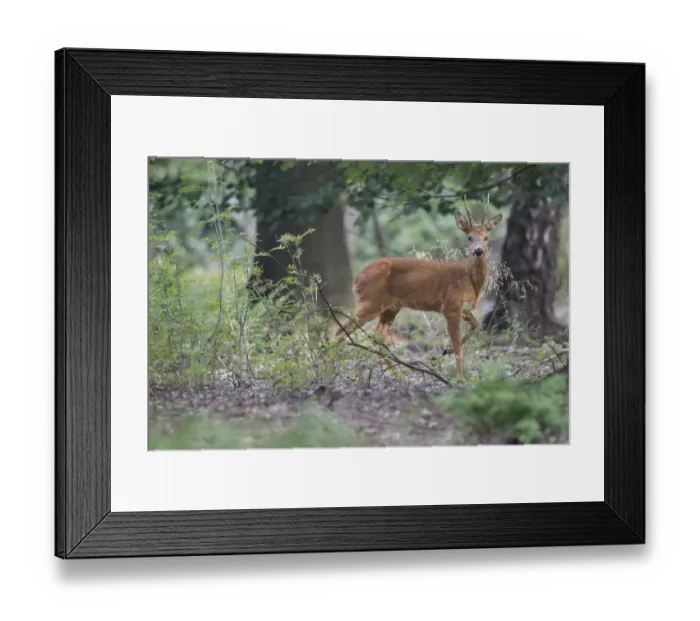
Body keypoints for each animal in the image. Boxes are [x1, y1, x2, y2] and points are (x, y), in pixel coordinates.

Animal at [332, 197, 503, 380]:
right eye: (469, 238)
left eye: (486, 238)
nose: (478, 251)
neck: (468, 279)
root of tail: (356, 279)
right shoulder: (451, 305)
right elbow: (458, 342)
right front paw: (460, 378)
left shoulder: (462, 307)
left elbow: (476, 324)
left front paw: (446, 350)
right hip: (371, 302)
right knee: (339, 332)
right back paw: (330, 373)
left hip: (391, 307)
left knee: (377, 337)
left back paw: (400, 376)